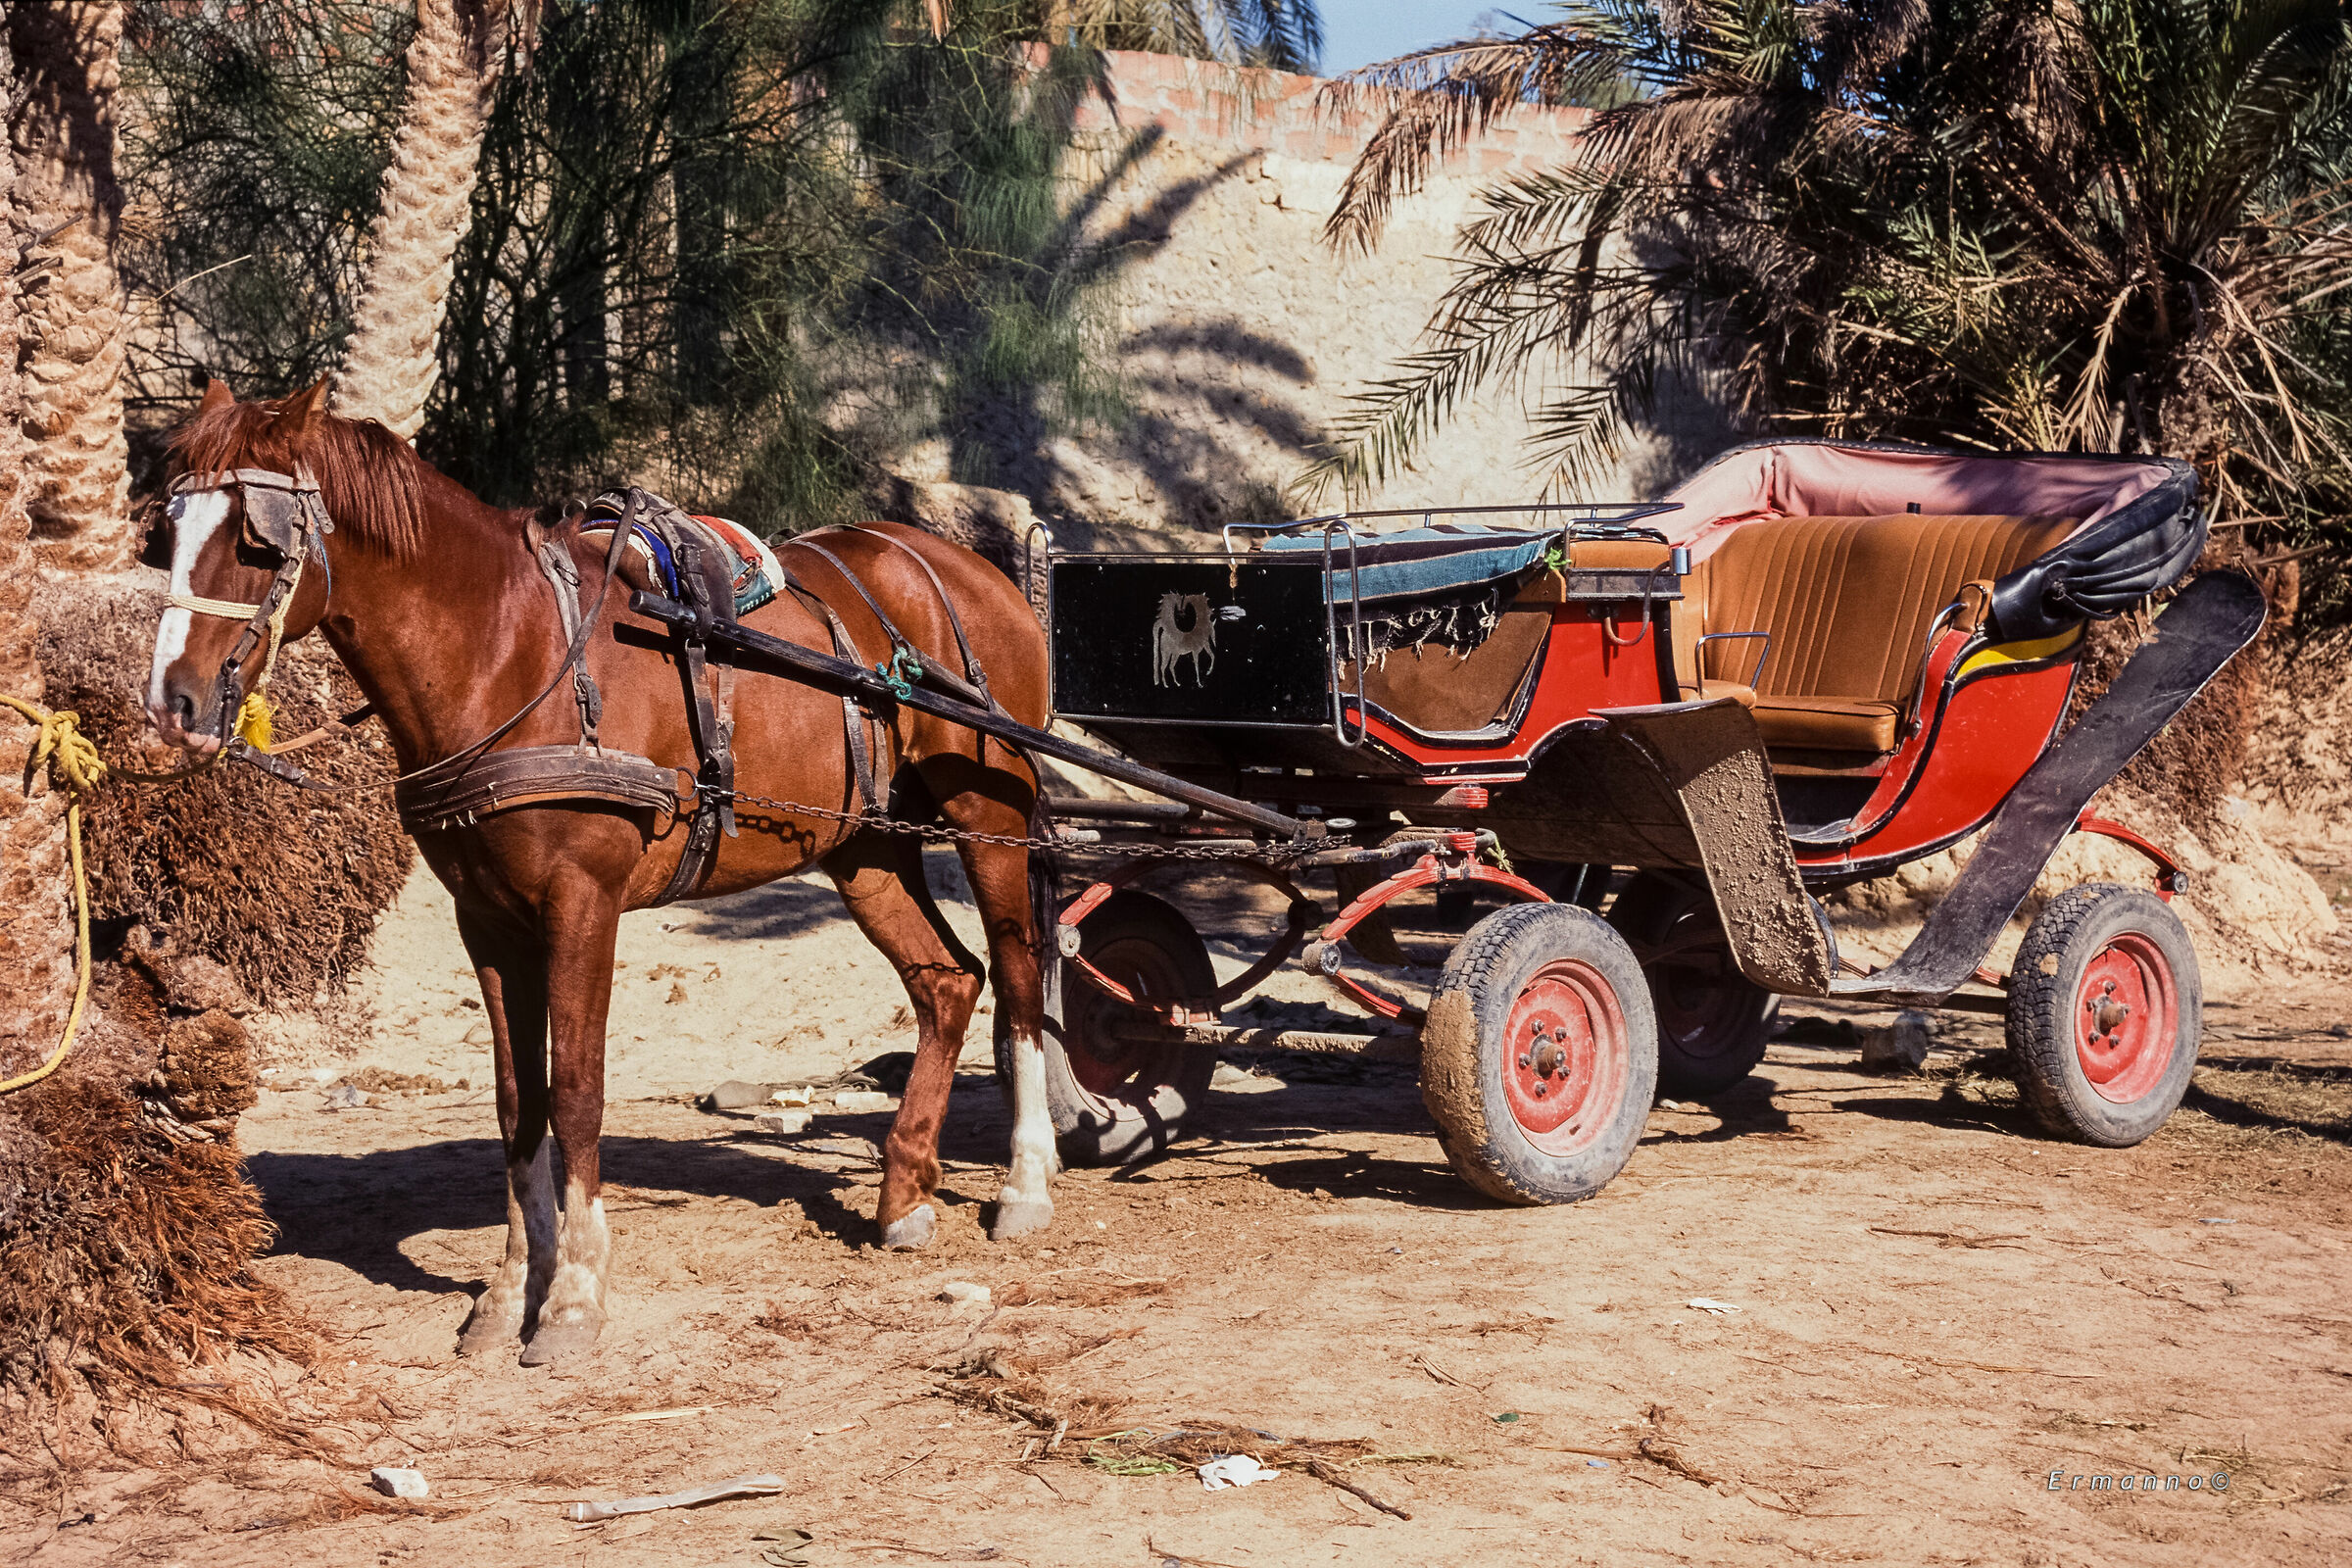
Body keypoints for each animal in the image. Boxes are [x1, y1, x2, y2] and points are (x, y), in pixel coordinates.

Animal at [142, 379, 1061, 1365]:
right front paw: (512, 1291)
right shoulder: (488, 920)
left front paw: (575, 1296)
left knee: (1016, 980)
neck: (510, 652)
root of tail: (972, 572)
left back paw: (1024, 1184)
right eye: (169, 529)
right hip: (865, 846)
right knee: (946, 982)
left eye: (257, 540)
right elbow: (518, 1103)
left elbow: (578, 1094)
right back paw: (903, 1194)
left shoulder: (582, 903)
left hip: (990, 821)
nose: (170, 703)